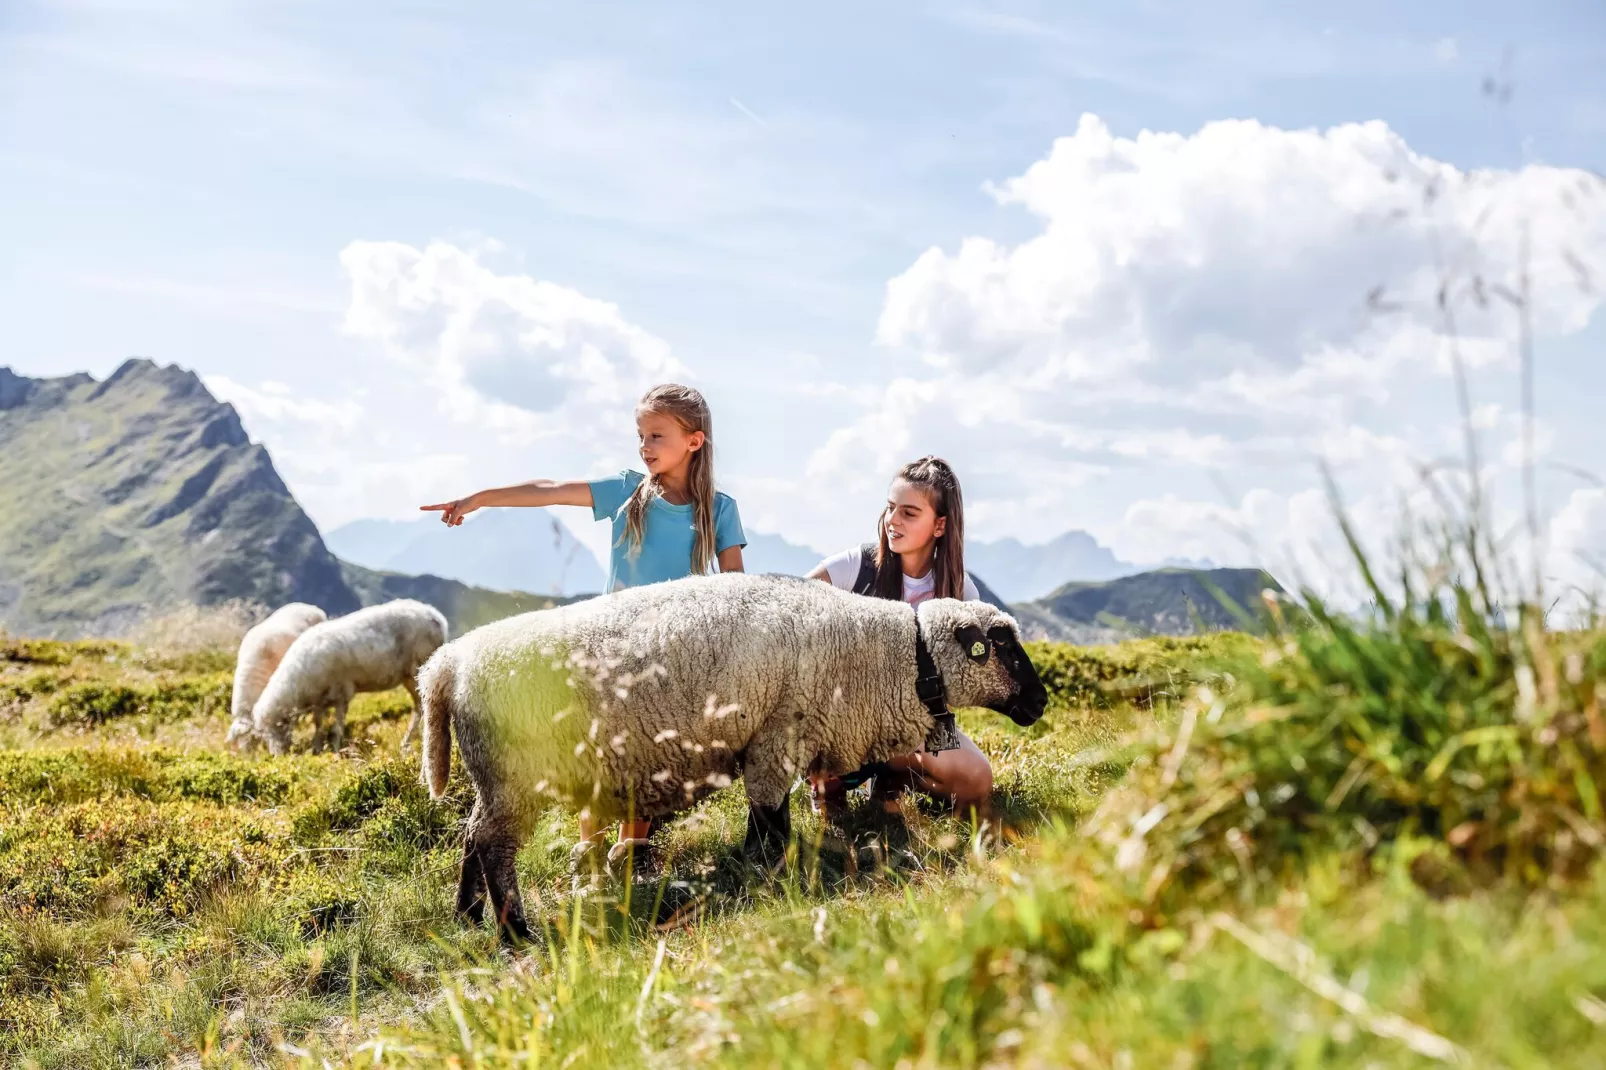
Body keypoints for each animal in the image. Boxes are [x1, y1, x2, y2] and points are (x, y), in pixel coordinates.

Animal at [250, 594, 452, 755]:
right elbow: (318, 724)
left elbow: (337, 727)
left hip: (419, 669)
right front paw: (316, 748)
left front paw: (335, 748)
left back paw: (410, 742)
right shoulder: (319, 700)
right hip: (408, 676)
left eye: (278, 727)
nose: (277, 756)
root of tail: (437, 617)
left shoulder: (342, 693)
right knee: (419, 706)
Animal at [414, 571, 1047, 938]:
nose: (1041, 702)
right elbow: (770, 820)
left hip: (494, 777)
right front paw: (769, 877)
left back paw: (469, 915)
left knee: (472, 833)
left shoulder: (774, 742)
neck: (891, 656)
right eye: (1004, 648)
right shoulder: (776, 737)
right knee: (493, 845)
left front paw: (755, 869)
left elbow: (762, 819)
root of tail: (447, 666)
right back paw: (514, 930)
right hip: (514, 776)